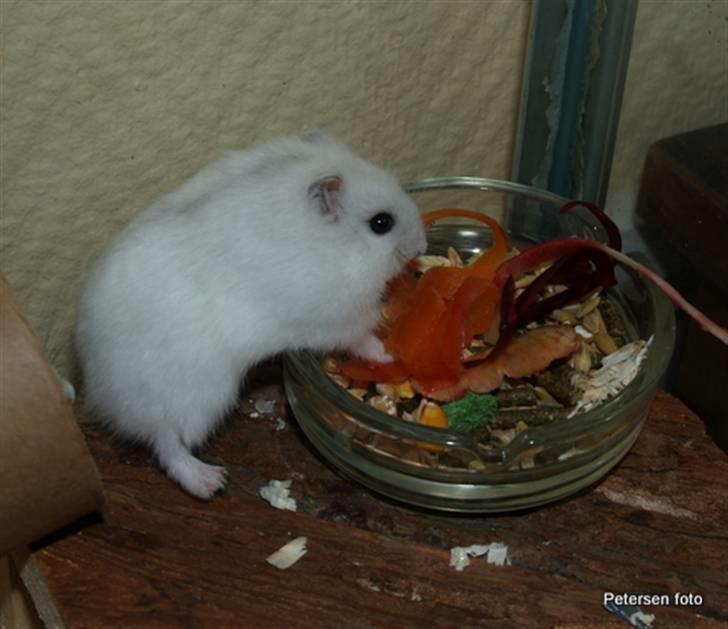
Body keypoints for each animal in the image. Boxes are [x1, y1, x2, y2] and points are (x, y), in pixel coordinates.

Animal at [75, 130, 427, 499]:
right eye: (381, 223)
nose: (421, 247)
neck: (340, 245)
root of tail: (100, 396)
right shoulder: (335, 318)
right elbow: (363, 339)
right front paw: (390, 354)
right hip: (200, 395)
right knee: (168, 444)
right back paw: (210, 482)